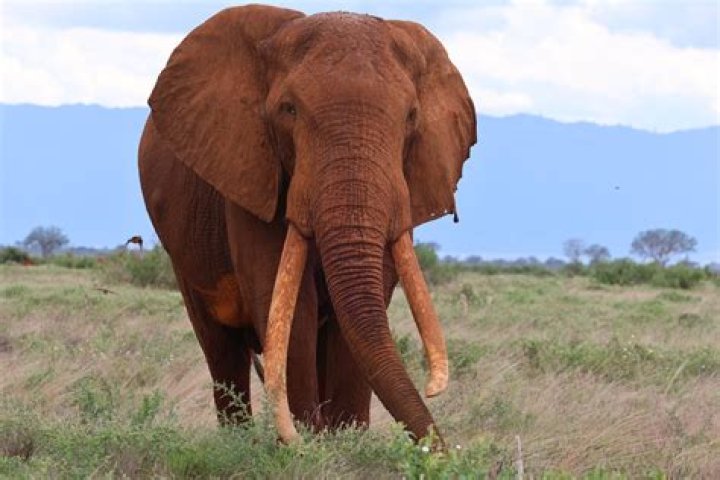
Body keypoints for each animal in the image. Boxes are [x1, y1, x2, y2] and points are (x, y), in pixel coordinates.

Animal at [139, 5, 476, 444]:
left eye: (411, 116)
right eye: (289, 110)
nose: (432, 391)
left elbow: (363, 311)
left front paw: (345, 443)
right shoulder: (251, 175)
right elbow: (288, 305)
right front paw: (306, 447)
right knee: (220, 347)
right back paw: (238, 441)